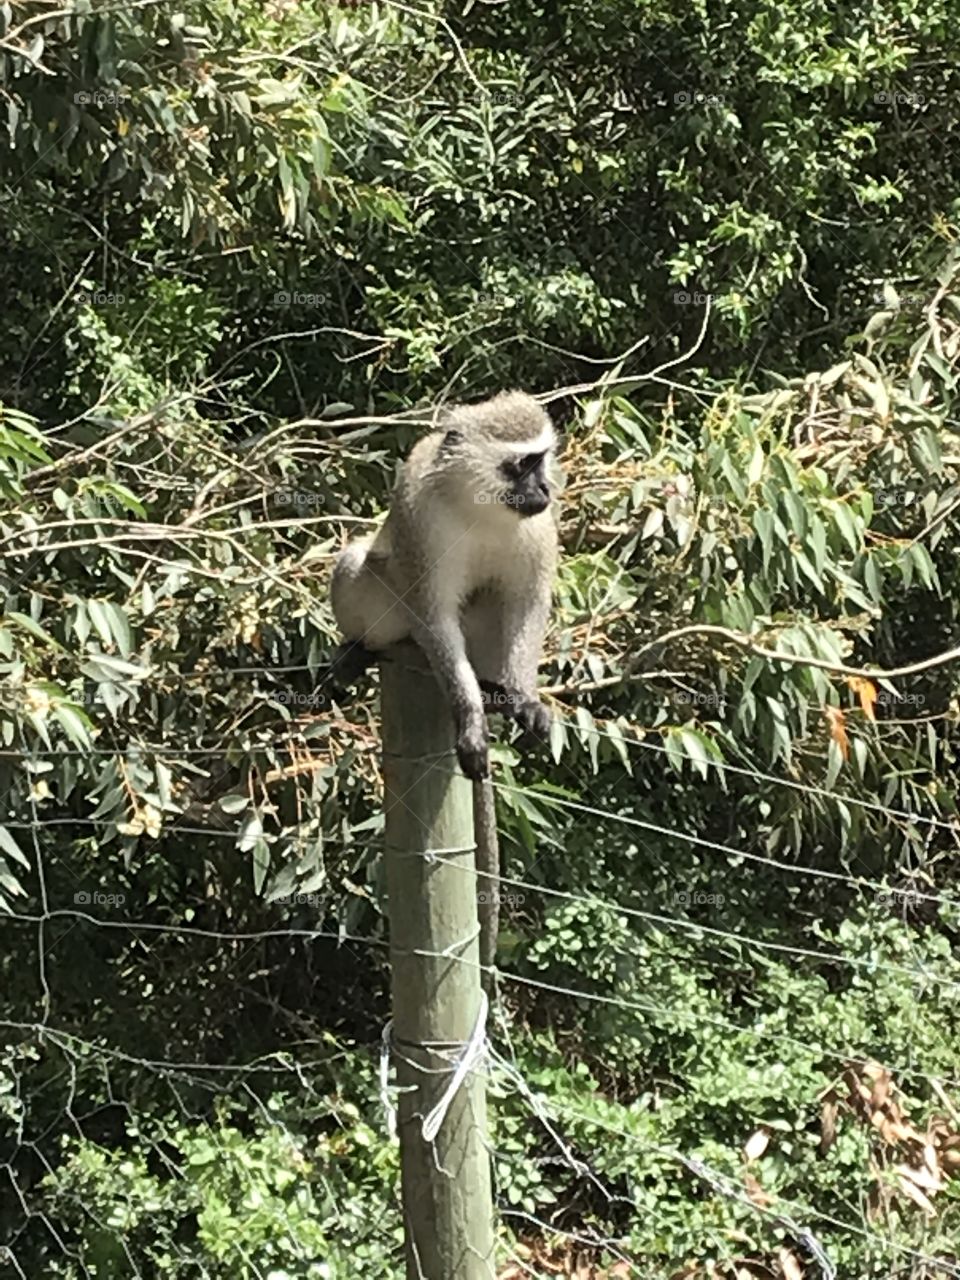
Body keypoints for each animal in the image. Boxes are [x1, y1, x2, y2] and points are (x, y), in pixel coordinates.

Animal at [330, 390, 559, 985]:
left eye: (542, 460)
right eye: (522, 465)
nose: (547, 489)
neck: (479, 504)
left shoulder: (540, 528)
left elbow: (528, 600)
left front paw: (524, 698)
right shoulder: (419, 515)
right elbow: (433, 613)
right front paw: (470, 720)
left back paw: (496, 689)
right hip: (393, 616)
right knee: (361, 566)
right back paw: (362, 650)